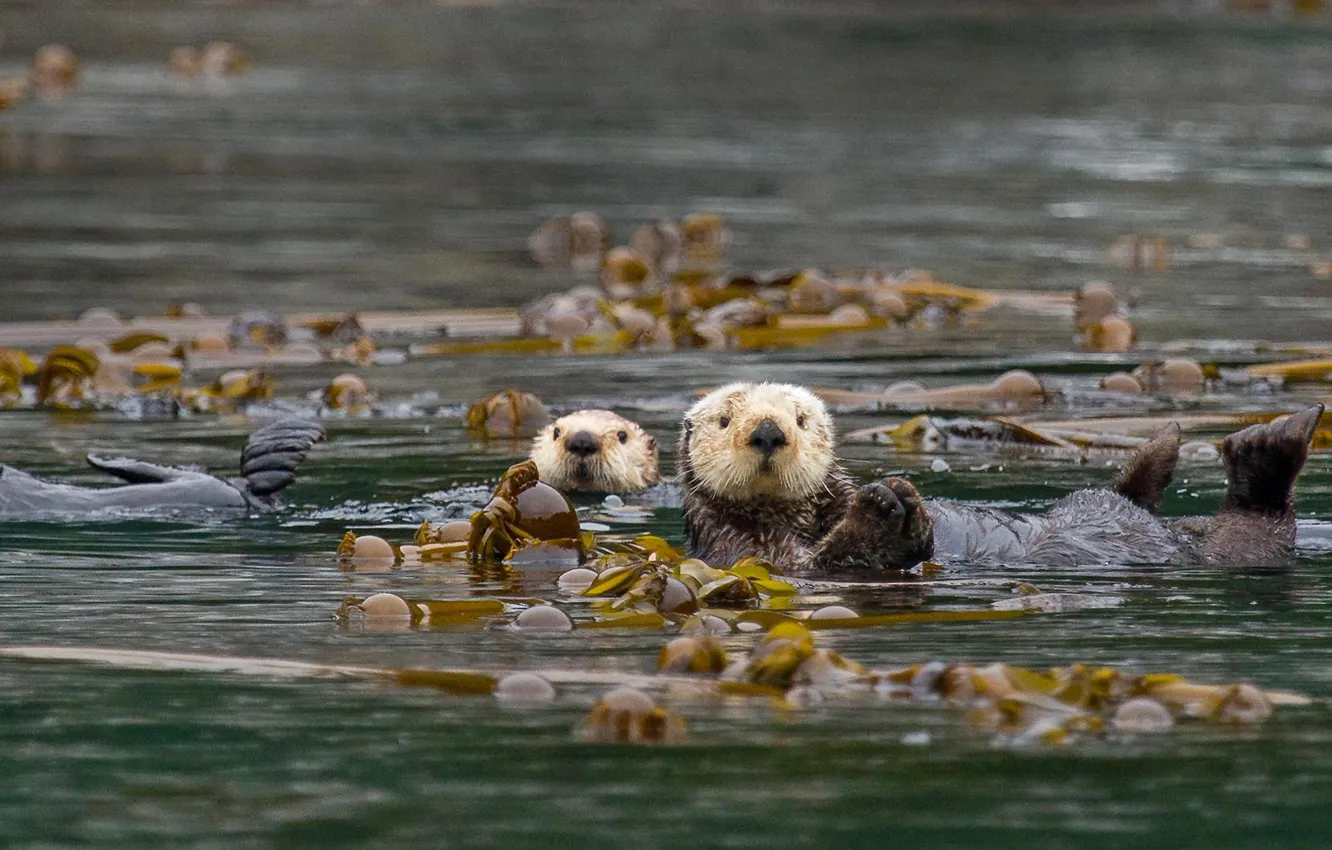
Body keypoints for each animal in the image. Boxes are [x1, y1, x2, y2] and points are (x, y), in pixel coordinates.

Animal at [680, 382, 1322, 574]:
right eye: (725, 419)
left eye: (802, 420)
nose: (769, 432)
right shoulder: (749, 551)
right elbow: (828, 560)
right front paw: (886, 508)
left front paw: (893, 498)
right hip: (1227, 545)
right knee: (1254, 531)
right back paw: (1266, 444)